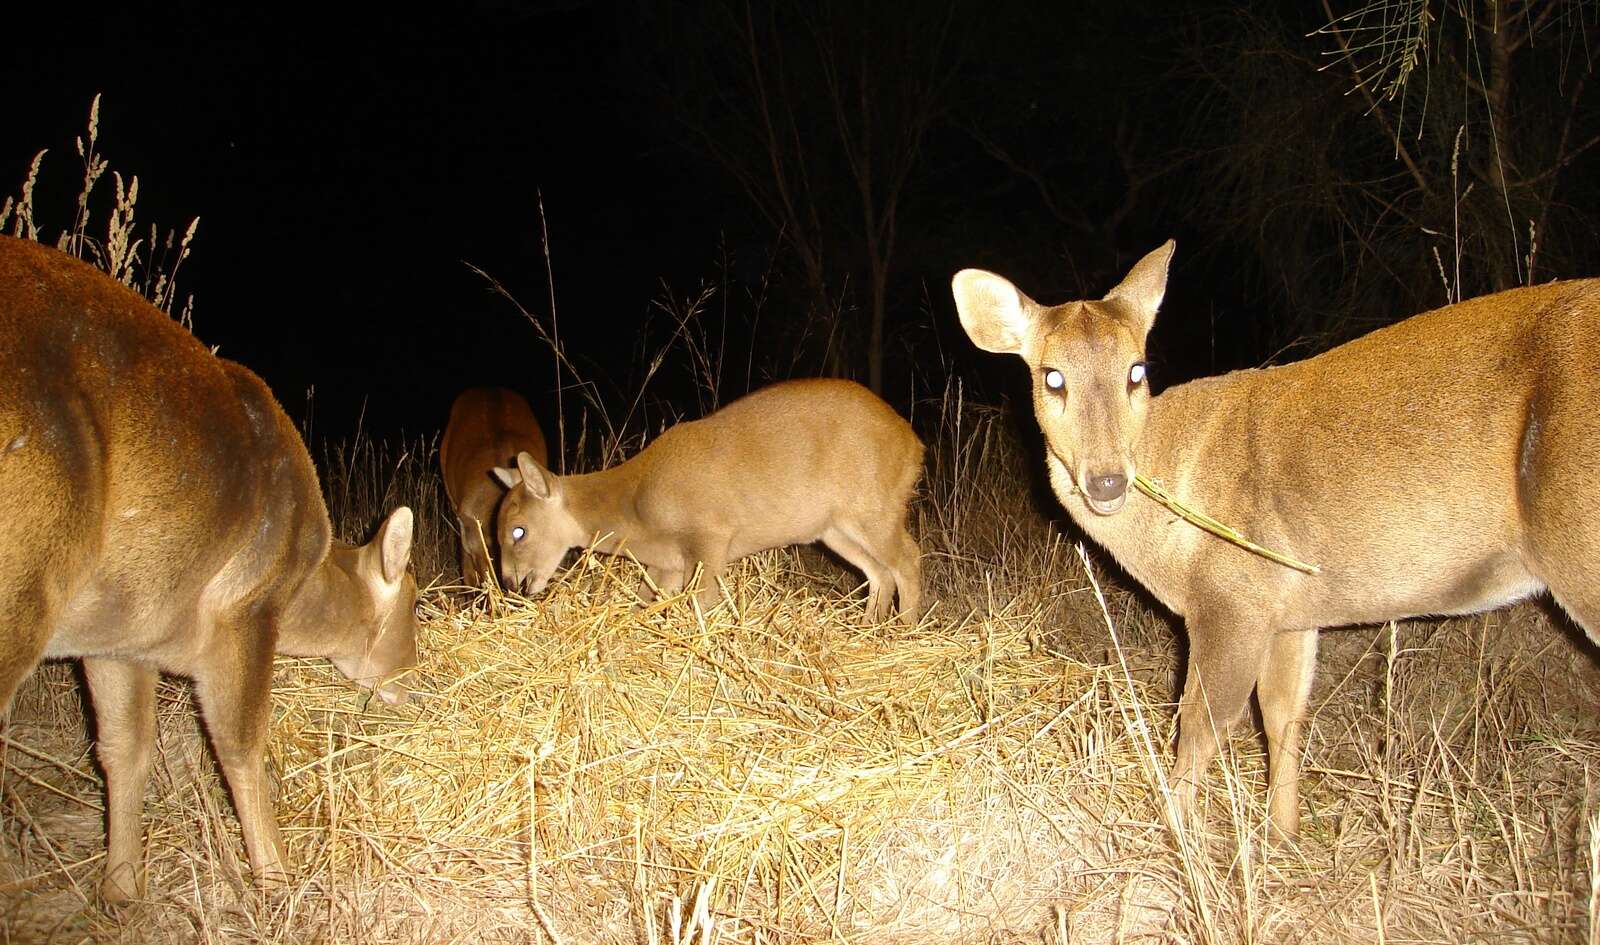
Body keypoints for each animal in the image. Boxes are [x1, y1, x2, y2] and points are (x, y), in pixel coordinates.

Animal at [0, 236, 421, 904]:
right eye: (414, 606)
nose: (416, 685)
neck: (302, 589)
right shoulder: (246, 606)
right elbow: (240, 741)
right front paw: (278, 879)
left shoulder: (120, 631)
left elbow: (123, 748)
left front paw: (121, 889)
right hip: (25, 570)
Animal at [492, 378, 924, 623]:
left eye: (519, 530)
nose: (511, 583)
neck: (636, 503)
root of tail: (915, 445)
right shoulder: (667, 563)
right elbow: (643, 602)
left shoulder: (711, 535)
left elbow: (702, 602)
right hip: (833, 528)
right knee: (879, 572)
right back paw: (869, 630)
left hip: (874, 508)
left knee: (908, 558)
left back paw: (905, 630)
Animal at [951, 240, 1600, 839]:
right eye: (1051, 376)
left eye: (1137, 370)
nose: (1107, 478)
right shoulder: (1290, 607)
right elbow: (1283, 713)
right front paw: (1282, 834)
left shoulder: (1233, 595)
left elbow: (1201, 724)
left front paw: (1178, 842)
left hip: (1578, 542)